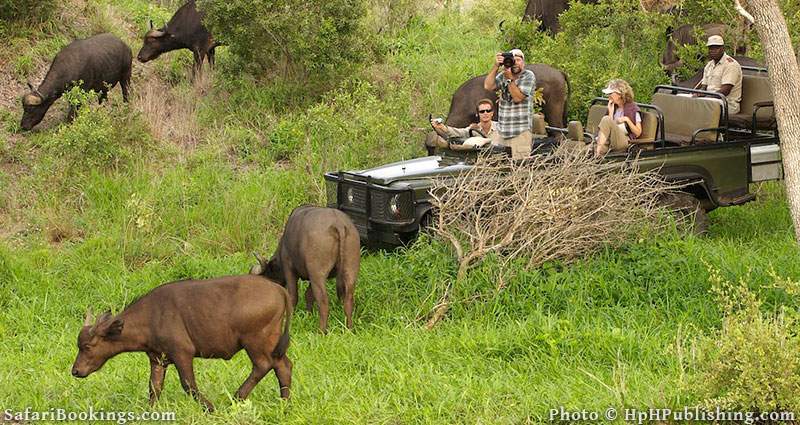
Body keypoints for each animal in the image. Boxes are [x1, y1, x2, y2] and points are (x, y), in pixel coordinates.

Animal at [72, 274, 294, 410]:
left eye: (87, 346)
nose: (75, 371)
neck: (152, 316)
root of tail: (279, 289)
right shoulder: (157, 359)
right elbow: (154, 388)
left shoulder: (182, 353)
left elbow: (189, 385)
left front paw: (210, 408)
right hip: (271, 343)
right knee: (283, 365)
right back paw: (284, 404)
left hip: (256, 342)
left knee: (264, 365)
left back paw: (237, 397)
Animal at [252, 204, 360, 332]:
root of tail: (338, 223)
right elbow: (308, 295)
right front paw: (308, 314)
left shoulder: (289, 269)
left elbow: (293, 296)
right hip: (350, 270)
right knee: (348, 299)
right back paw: (349, 328)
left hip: (318, 274)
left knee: (323, 301)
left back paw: (321, 330)